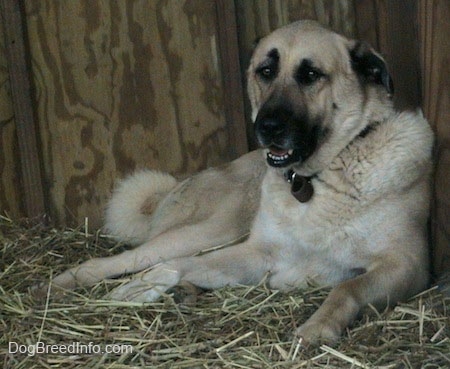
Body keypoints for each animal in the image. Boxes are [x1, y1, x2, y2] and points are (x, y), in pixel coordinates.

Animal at [33, 20, 434, 342]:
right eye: (265, 71)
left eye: (311, 75)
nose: (266, 127)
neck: (319, 177)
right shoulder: (257, 253)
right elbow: (170, 266)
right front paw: (140, 287)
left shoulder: (407, 265)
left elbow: (347, 288)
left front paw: (317, 327)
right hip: (211, 230)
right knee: (126, 258)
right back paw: (61, 283)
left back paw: (184, 291)